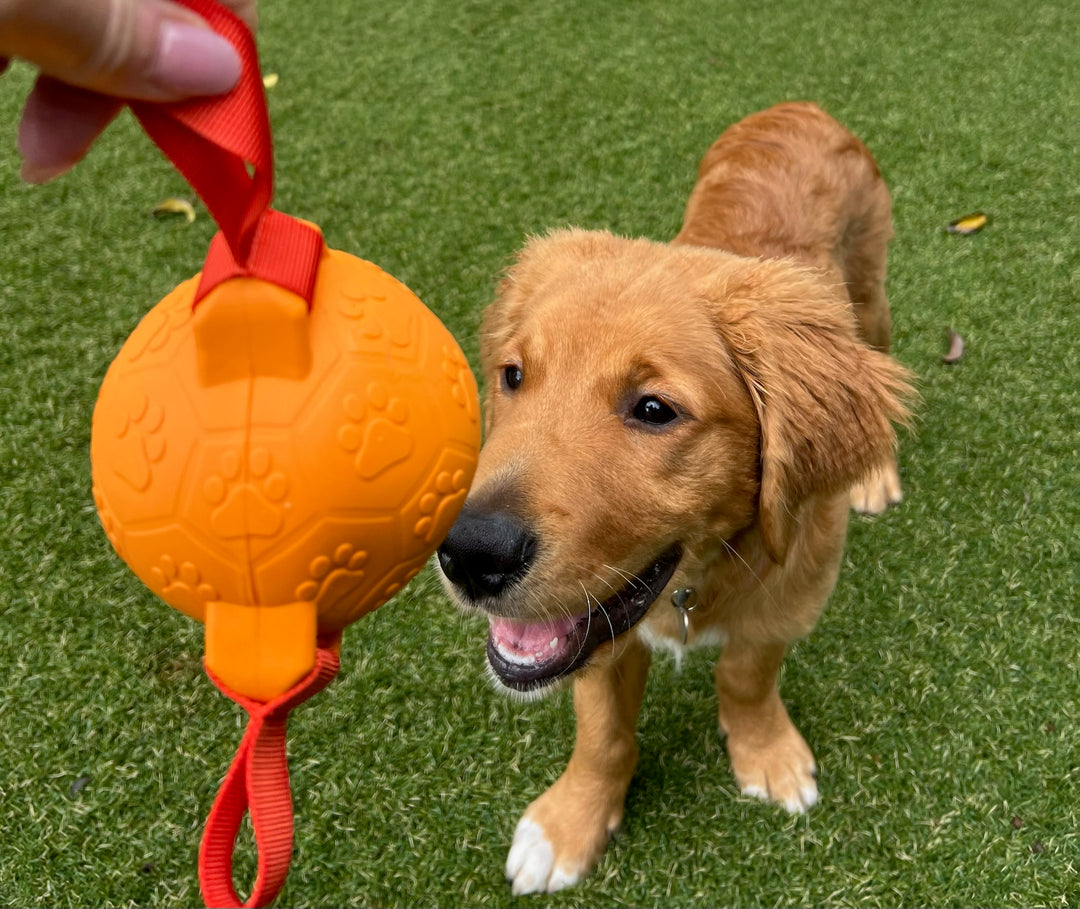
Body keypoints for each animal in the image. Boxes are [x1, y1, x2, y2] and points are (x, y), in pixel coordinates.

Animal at [434, 102, 915, 889]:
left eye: (655, 409)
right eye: (512, 375)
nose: (470, 555)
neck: (694, 579)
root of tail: (800, 108)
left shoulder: (791, 590)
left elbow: (746, 676)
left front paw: (765, 753)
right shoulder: (597, 629)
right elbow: (602, 733)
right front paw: (571, 822)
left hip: (867, 292)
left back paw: (874, 472)